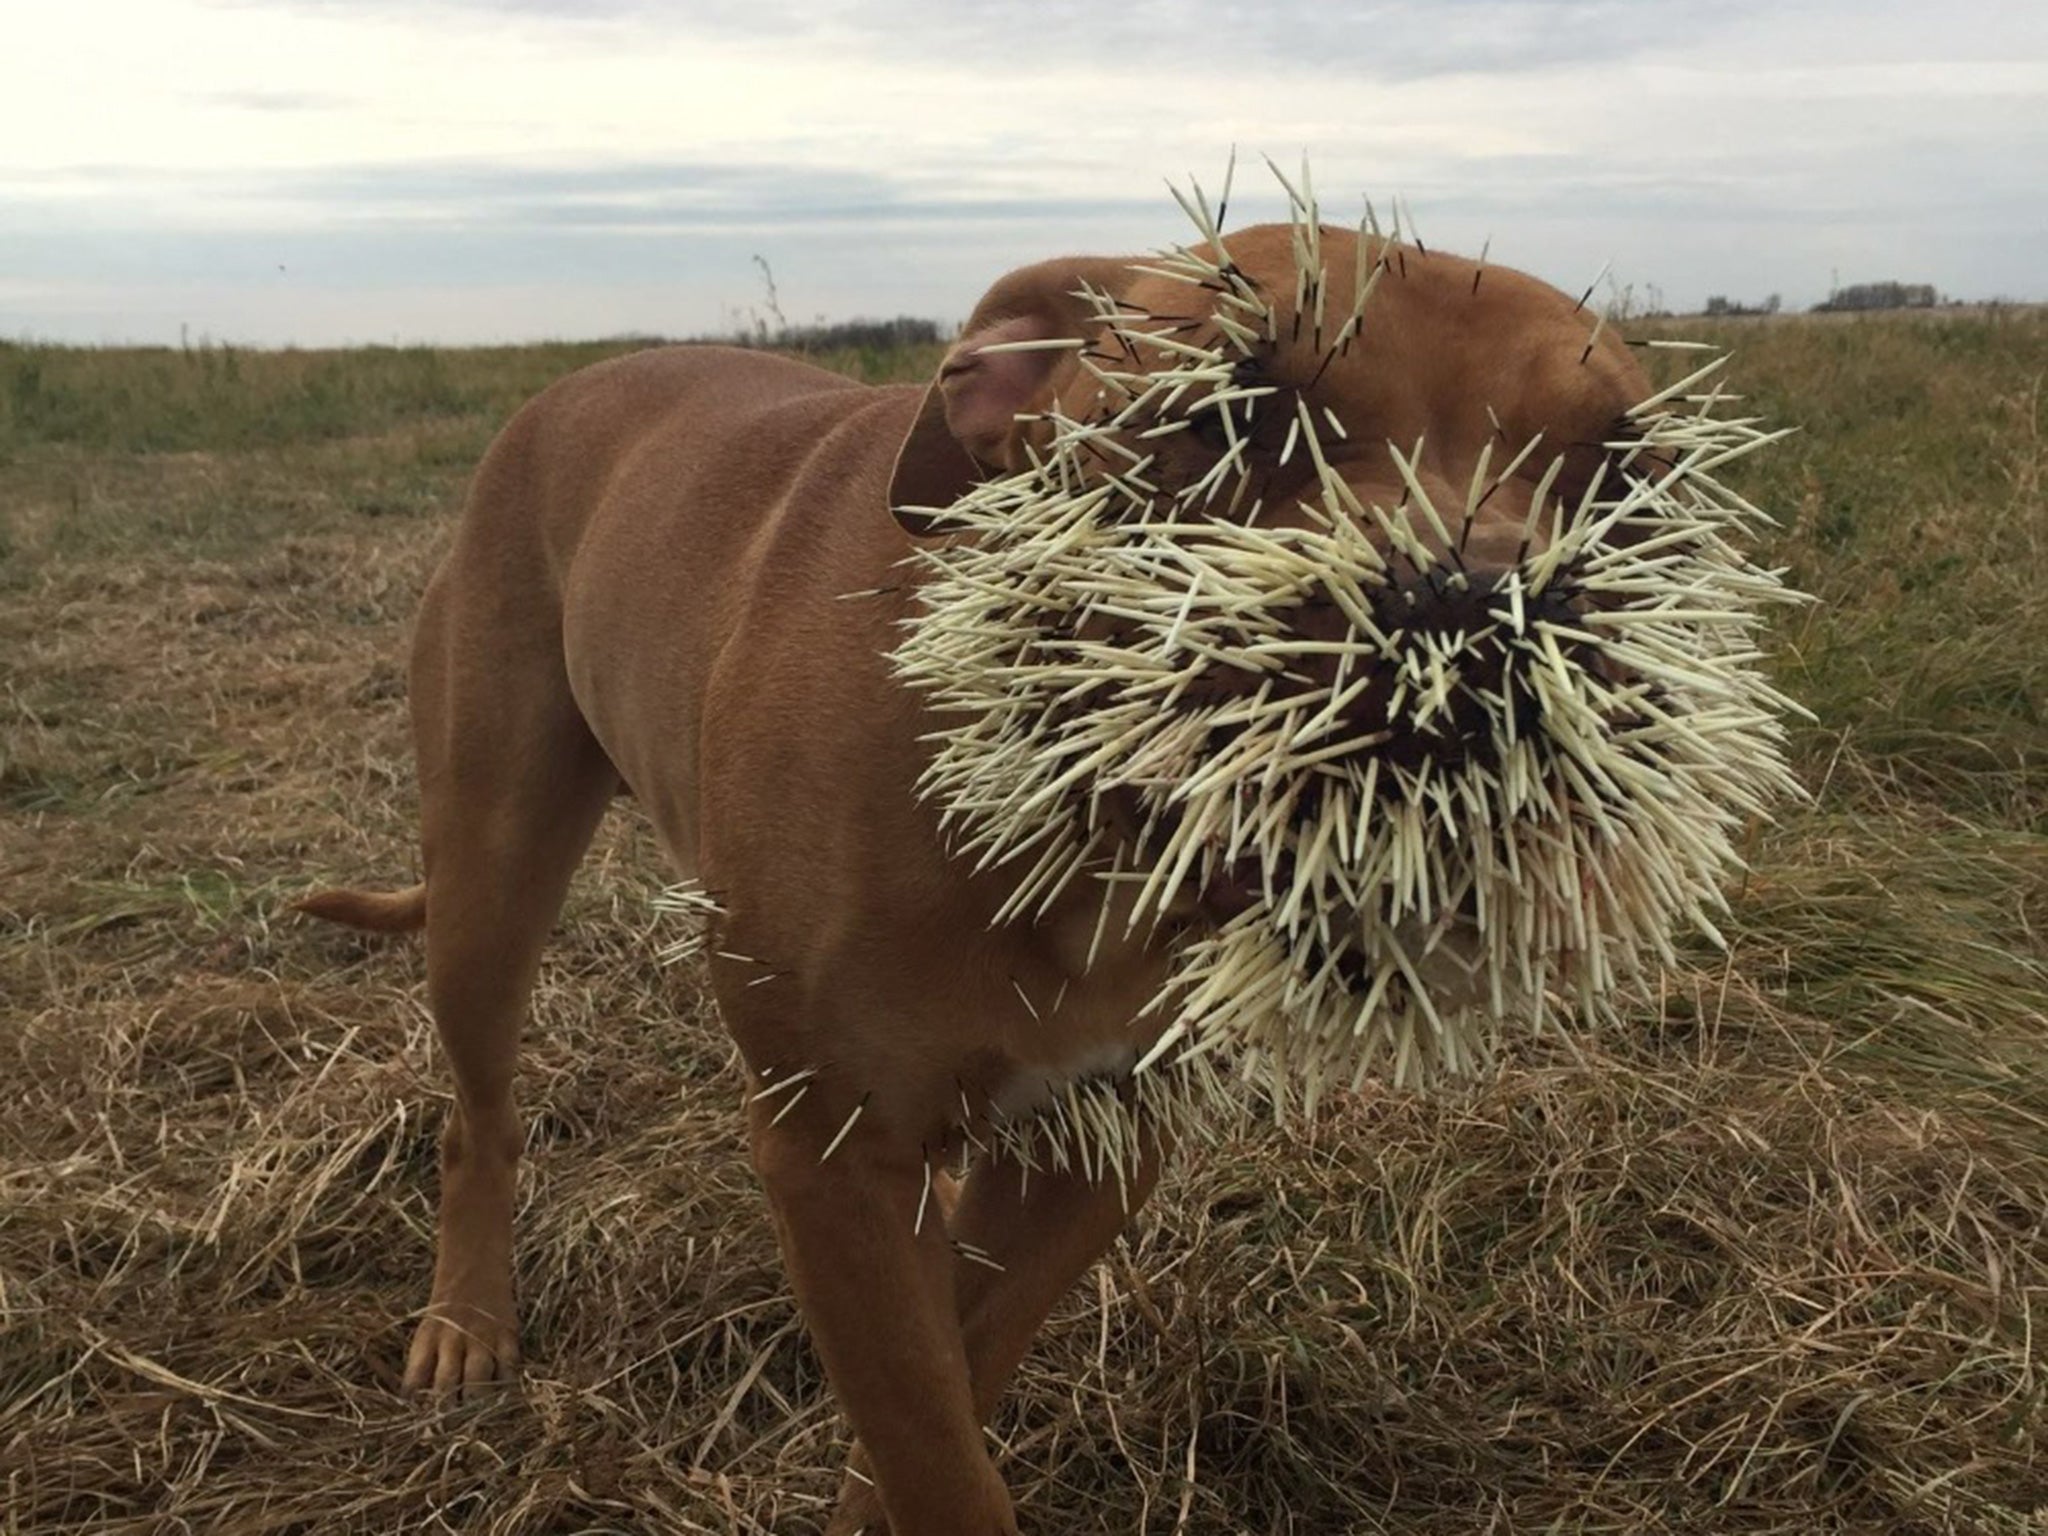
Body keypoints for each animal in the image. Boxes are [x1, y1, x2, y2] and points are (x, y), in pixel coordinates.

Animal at [311, 219, 1671, 1536]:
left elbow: (951, 1386)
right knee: (476, 1112)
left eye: (1624, 477)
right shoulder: (834, 1153)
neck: (1078, 818)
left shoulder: (1097, 1146)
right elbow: (930, 1443)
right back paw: (466, 1323)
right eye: (1228, 416)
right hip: (489, 872)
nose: (1479, 620)